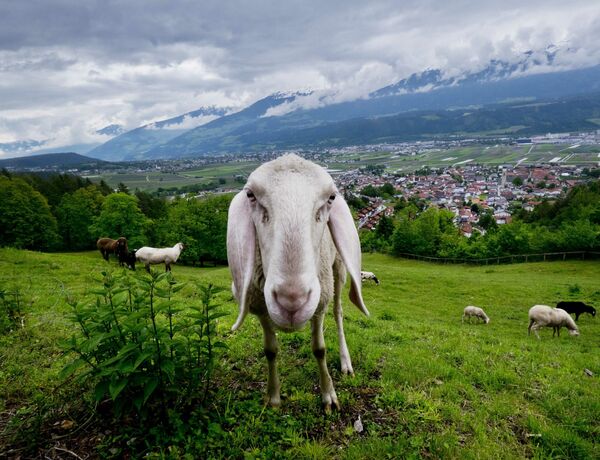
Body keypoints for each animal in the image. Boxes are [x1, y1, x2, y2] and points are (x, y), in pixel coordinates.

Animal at [225, 155, 366, 414]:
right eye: (251, 195)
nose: (292, 300)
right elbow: (270, 351)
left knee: (338, 312)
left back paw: (345, 362)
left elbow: (319, 349)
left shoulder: (319, 304)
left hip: (337, 270)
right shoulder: (260, 307)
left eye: (331, 198)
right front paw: (273, 397)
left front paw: (328, 396)